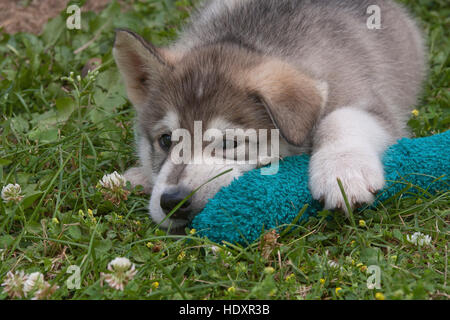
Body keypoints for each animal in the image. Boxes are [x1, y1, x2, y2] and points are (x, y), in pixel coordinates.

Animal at [112, 0, 426, 231]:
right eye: (165, 140)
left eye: (228, 143)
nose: (172, 202)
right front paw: (137, 176)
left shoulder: (370, 102)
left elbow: (339, 118)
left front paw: (343, 171)